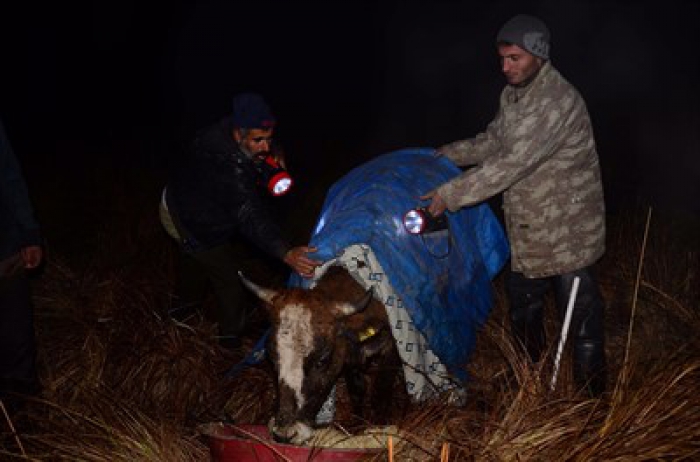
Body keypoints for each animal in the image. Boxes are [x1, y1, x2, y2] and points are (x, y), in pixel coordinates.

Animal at [239, 266, 404, 446]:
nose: (284, 434)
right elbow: (357, 390)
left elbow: (381, 394)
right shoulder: (347, 356)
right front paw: (358, 424)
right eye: (272, 357)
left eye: (322, 360)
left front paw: (381, 426)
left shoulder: (391, 349)